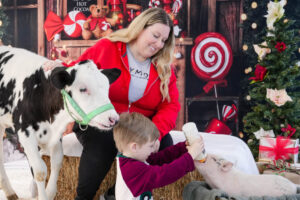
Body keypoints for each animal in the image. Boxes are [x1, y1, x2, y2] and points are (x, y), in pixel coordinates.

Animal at [0, 46, 120, 200]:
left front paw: (50, 193)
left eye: (107, 87)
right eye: (83, 89)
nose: (113, 118)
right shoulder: (25, 133)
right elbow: (39, 171)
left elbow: (57, 162)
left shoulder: (57, 135)